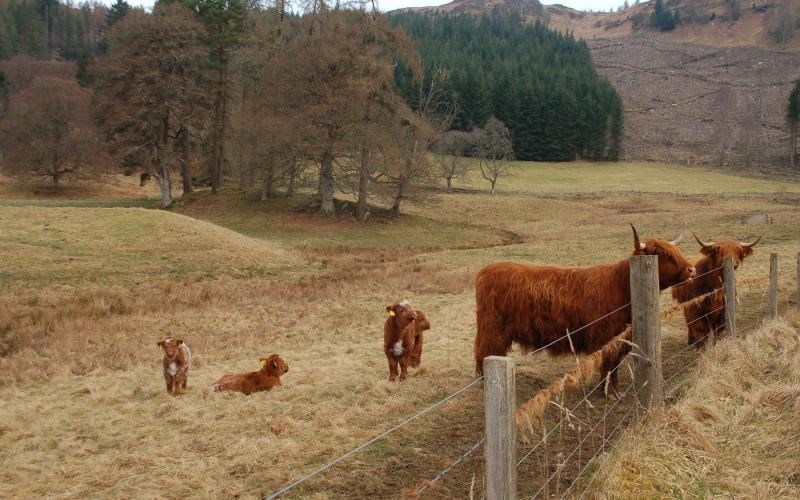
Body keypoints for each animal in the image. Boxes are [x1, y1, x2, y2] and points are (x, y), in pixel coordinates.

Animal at [476, 225, 692, 396]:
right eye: (662, 254)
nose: (691, 269)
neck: (622, 286)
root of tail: (486, 270)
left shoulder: (622, 338)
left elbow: (615, 367)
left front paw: (616, 391)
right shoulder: (605, 338)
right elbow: (608, 365)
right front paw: (608, 392)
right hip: (493, 330)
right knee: (485, 351)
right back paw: (486, 382)